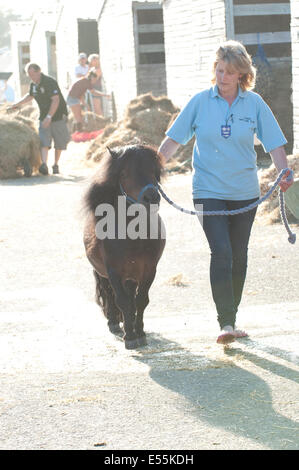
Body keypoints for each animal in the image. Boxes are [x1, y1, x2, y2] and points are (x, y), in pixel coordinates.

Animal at [82, 146, 166, 348]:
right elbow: (122, 301)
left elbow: (140, 300)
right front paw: (129, 336)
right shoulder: (113, 271)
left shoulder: (149, 270)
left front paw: (140, 333)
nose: (151, 197)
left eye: (154, 171)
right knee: (108, 293)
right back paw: (113, 322)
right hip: (103, 273)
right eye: (125, 173)